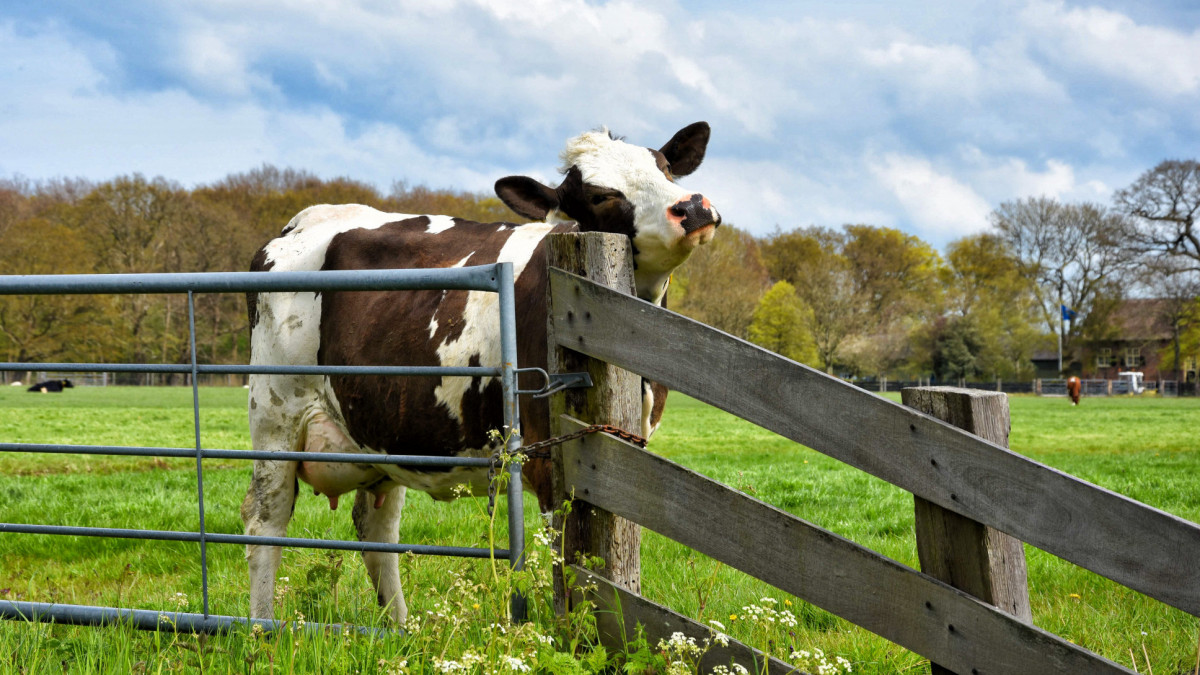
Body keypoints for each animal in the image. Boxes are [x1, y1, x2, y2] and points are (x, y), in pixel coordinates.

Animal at [238, 120, 715, 619]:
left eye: (664, 168)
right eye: (601, 195)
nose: (692, 208)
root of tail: (301, 221)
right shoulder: (550, 458)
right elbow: (568, 561)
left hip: (383, 432)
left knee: (375, 530)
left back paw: (402, 629)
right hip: (275, 415)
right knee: (264, 522)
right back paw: (262, 628)